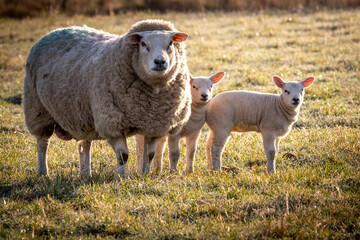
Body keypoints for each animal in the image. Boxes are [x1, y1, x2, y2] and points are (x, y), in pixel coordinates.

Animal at [23, 19, 193, 176]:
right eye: (143, 44)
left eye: (170, 43)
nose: (160, 62)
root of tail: (55, 31)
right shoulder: (112, 124)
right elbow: (123, 156)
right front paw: (122, 177)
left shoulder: (154, 126)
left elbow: (149, 155)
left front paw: (144, 175)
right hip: (37, 109)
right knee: (42, 143)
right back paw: (43, 172)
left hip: (83, 116)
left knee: (85, 145)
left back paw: (85, 173)